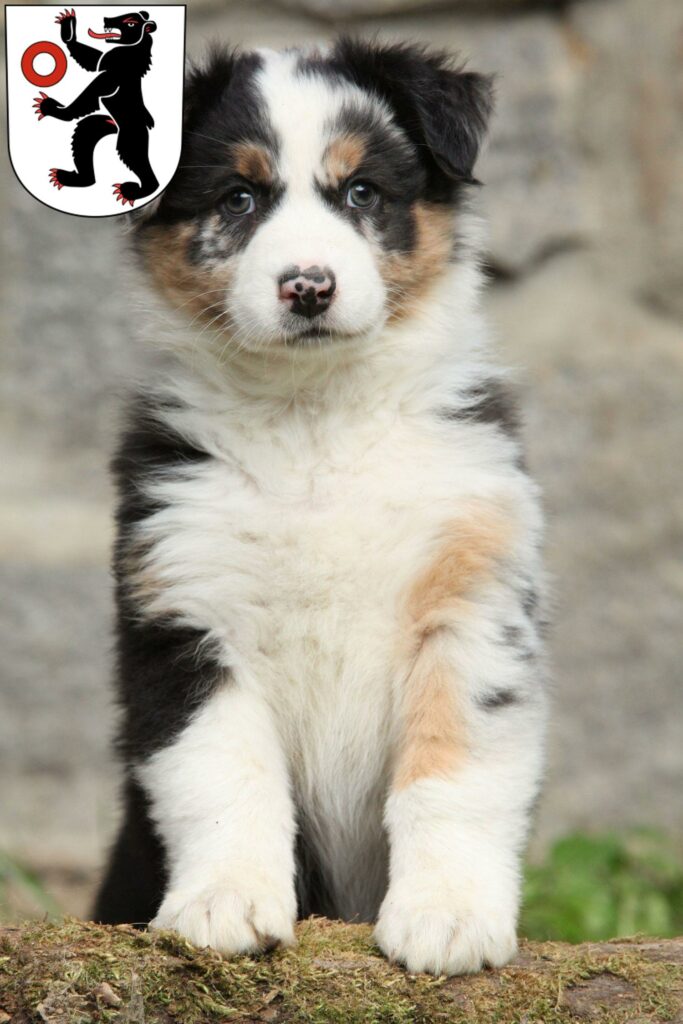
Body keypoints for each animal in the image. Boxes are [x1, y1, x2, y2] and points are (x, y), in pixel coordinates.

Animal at [93, 37, 548, 974]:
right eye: (238, 197)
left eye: (361, 192)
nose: (307, 286)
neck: (315, 422)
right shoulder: (183, 608)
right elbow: (222, 772)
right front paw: (224, 905)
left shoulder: (472, 600)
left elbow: (453, 772)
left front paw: (447, 916)